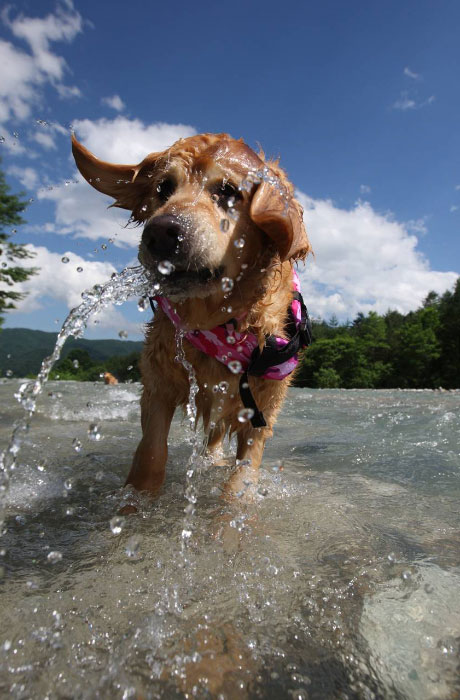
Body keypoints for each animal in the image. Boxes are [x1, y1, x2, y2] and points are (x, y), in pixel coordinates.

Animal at [71, 133, 312, 498]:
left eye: (228, 191)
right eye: (163, 188)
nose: (160, 233)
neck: (217, 323)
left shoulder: (263, 410)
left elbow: (241, 478)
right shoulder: (158, 385)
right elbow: (151, 454)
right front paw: (135, 504)